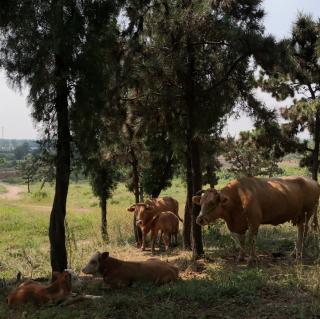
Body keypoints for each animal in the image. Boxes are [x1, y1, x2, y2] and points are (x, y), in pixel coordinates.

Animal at [192, 176, 320, 266]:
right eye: (201, 202)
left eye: (212, 203)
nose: (199, 219)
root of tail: (312, 180)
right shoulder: (239, 224)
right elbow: (241, 241)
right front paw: (241, 257)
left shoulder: (254, 221)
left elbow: (251, 240)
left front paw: (252, 259)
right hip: (299, 216)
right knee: (301, 230)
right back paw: (294, 253)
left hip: (306, 213)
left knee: (303, 231)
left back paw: (299, 254)